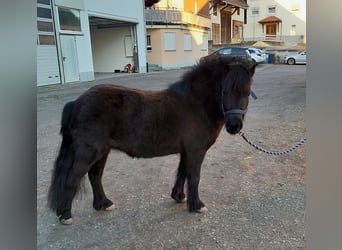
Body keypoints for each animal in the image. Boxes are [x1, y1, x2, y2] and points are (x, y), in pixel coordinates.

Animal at [48, 56, 256, 225]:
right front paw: (196, 205)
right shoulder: (195, 151)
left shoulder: (186, 151)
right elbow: (194, 177)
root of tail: (77, 102)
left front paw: (179, 196)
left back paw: (104, 204)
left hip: (102, 151)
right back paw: (65, 214)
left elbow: (182, 173)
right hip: (88, 152)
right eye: (224, 92)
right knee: (72, 178)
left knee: (94, 176)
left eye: (247, 92)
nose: (234, 126)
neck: (196, 103)